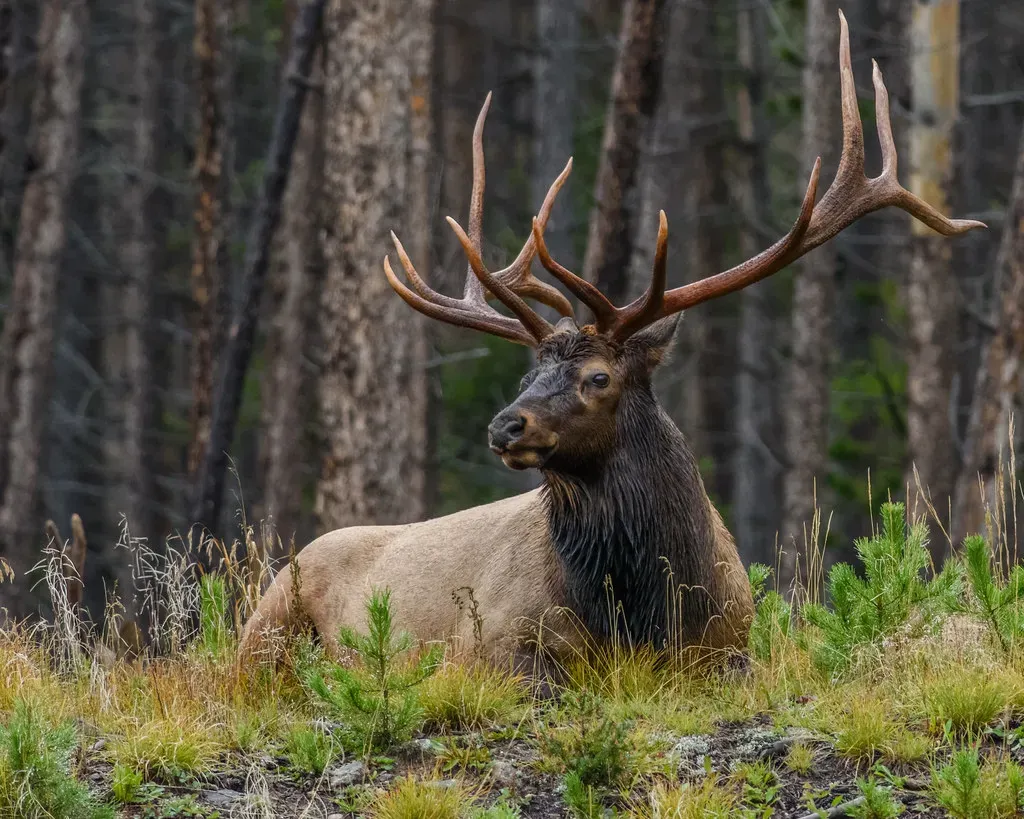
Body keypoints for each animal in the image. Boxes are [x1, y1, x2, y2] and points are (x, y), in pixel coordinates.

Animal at [239, 12, 983, 668]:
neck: (645, 614)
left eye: (598, 377)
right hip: (264, 626)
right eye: (525, 378)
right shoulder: (489, 648)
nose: (506, 425)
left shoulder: (734, 649)